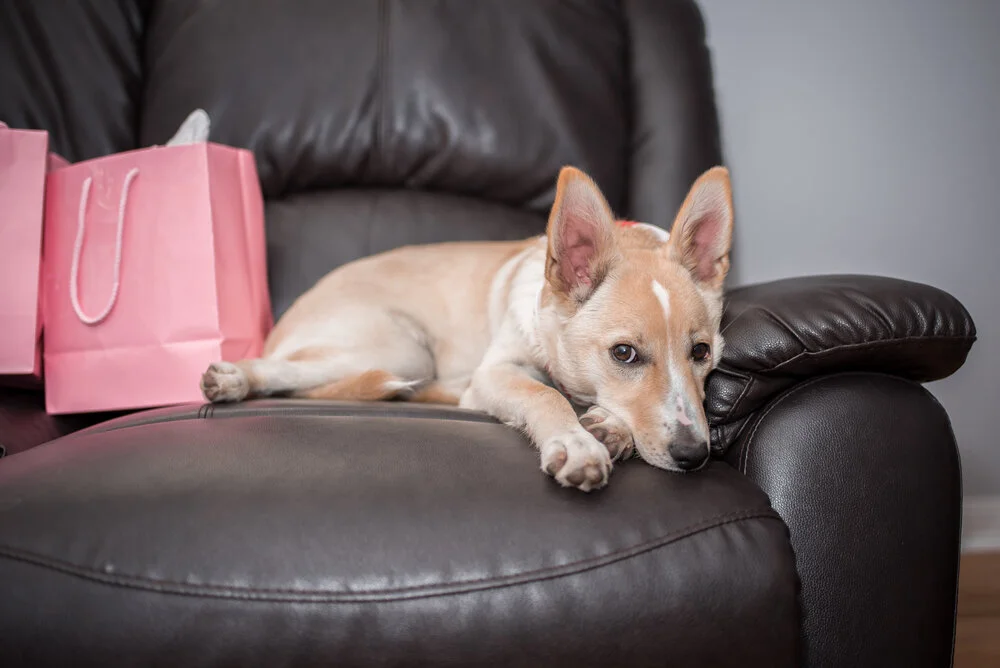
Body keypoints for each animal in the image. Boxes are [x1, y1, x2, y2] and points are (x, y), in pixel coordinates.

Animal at [201, 165, 734, 492]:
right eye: (623, 354)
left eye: (702, 353)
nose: (694, 456)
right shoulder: (494, 373)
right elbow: (545, 395)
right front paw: (576, 442)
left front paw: (609, 428)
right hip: (401, 350)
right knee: (283, 370)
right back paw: (235, 378)